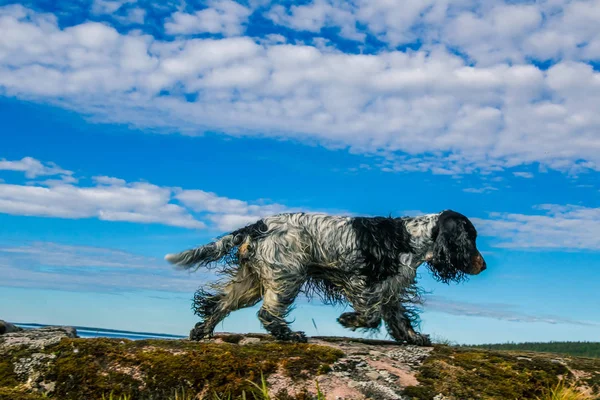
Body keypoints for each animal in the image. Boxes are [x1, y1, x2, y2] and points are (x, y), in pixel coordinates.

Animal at [166, 211, 486, 346]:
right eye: (471, 238)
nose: (483, 265)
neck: (414, 236)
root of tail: (257, 226)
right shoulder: (363, 281)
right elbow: (371, 314)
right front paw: (349, 320)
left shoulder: (390, 288)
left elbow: (398, 318)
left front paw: (415, 338)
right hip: (287, 276)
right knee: (267, 313)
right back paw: (290, 336)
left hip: (252, 281)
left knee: (220, 304)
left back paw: (201, 332)